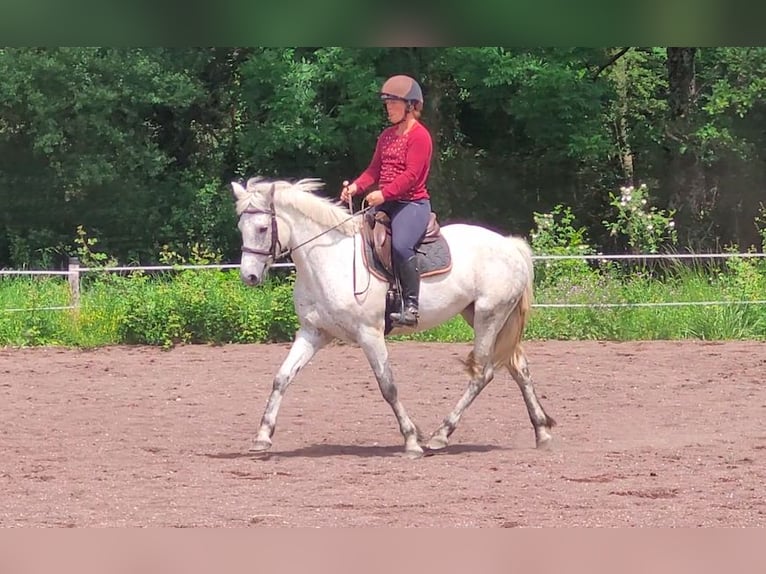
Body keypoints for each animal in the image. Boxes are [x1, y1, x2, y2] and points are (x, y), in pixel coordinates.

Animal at [231, 176, 556, 460]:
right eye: (241, 227)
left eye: (262, 228)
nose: (248, 277)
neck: (329, 260)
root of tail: (510, 245)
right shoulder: (313, 333)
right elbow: (281, 378)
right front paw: (262, 436)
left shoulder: (369, 333)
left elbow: (388, 386)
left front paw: (411, 440)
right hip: (482, 315)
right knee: (519, 367)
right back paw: (542, 432)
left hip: (489, 317)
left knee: (483, 373)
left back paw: (440, 435)